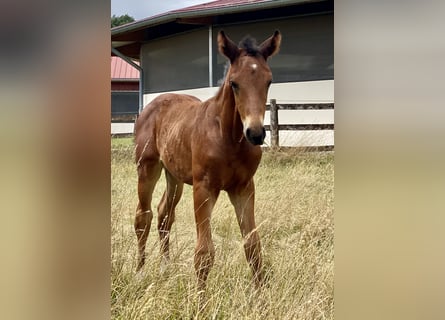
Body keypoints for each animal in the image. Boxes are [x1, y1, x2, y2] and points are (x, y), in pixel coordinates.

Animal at [133, 30, 280, 290]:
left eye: (269, 81)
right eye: (234, 83)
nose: (255, 133)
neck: (228, 138)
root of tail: (152, 105)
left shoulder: (244, 188)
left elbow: (253, 245)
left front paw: (261, 295)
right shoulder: (204, 188)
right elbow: (204, 253)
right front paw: (200, 299)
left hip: (174, 176)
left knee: (164, 215)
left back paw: (165, 268)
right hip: (147, 168)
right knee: (143, 216)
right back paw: (140, 274)